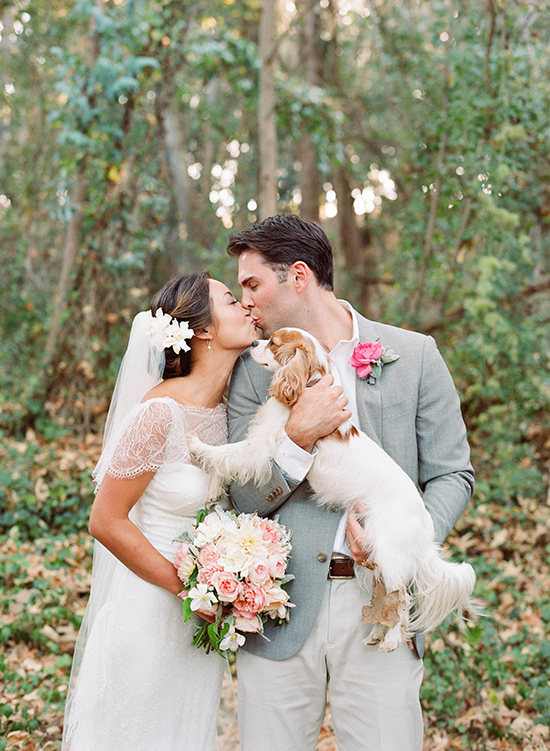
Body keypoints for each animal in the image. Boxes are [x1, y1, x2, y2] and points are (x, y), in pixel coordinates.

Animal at [188, 328, 476, 652]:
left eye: (272, 342)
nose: (252, 343)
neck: (308, 385)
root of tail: (425, 527)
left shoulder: (262, 445)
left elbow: (227, 453)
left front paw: (197, 445)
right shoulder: (261, 445)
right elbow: (226, 462)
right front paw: (212, 488)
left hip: (388, 550)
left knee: (400, 597)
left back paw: (391, 638)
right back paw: (376, 633)